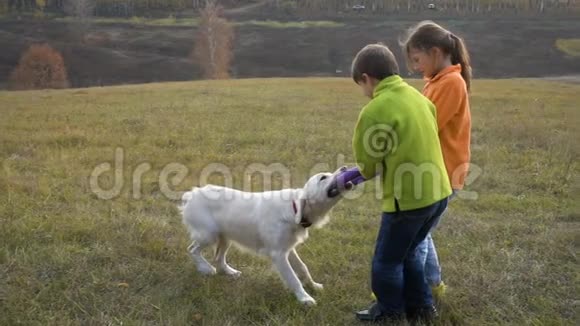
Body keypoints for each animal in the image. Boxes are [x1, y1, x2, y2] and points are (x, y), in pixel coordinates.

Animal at [180, 168, 348, 306]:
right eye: (323, 177)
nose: (345, 168)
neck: (292, 210)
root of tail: (192, 194)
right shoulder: (278, 254)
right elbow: (293, 278)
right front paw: (305, 298)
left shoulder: (288, 248)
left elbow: (302, 268)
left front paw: (313, 286)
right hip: (209, 235)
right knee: (192, 250)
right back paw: (206, 268)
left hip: (225, 237)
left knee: (218, 258)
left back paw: (230, 272)